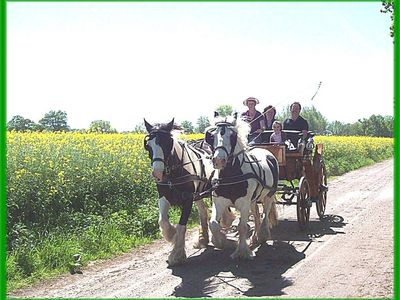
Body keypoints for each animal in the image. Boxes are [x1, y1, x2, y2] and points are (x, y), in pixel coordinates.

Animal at [144, 118, 233, 266]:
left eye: (167, 143)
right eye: (148, 145)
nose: (157, 174)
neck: (174, 173)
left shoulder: (188, 199)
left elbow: (181, 226)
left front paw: (176, 254)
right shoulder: (163, 196)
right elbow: (162, 221)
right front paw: (171, 234)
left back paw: (226, 222)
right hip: (200, 194)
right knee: (203, 212)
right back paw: (203, 238)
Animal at [206, 112, 278, 260]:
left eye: (232, 136)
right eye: (211, 136)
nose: (219, 160)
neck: (231, 175)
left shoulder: (244, 204)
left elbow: (242, 227)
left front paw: (242, 251)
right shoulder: (219, 202)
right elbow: (213, 224)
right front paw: (220, 241)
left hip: (269, 194)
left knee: (265, 213)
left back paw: (262, 235)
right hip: (253, 200)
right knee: (256, 215)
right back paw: (255, 238)